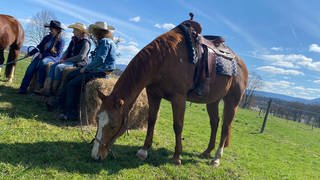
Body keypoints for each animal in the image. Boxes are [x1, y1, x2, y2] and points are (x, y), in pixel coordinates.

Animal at [91, 17, 249, 167]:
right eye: (97, 119)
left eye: (113, 125)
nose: (95, 155)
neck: (164, 59)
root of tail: (241, 63)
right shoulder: (153, 94)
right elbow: (152, 120)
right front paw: (144, 151)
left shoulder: (178, 98)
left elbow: (178, 126)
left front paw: (177, 157)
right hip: (212, 101)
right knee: (214, 123)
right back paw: (207, 151)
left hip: (232, 102)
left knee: (225, 127)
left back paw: (216, 158)